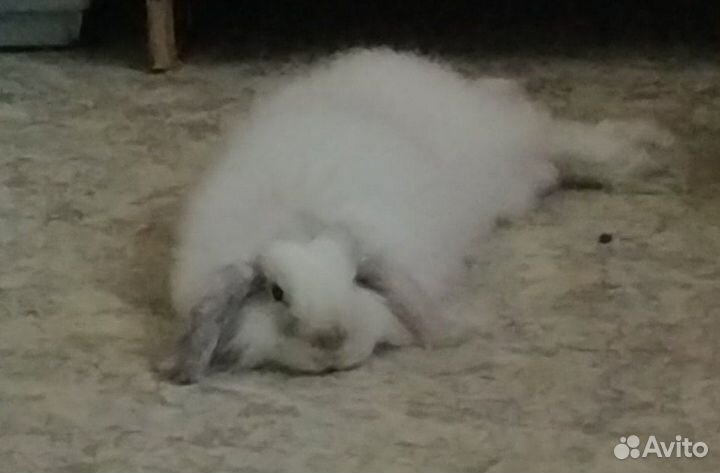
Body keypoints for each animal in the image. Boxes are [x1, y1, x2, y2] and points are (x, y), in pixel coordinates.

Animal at [160, 48, 672, 384]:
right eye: (276, 292)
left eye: (355, 278)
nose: (332, 344)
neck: (303, 221)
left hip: (507, 156)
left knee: (556, 137)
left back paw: (645, 159)